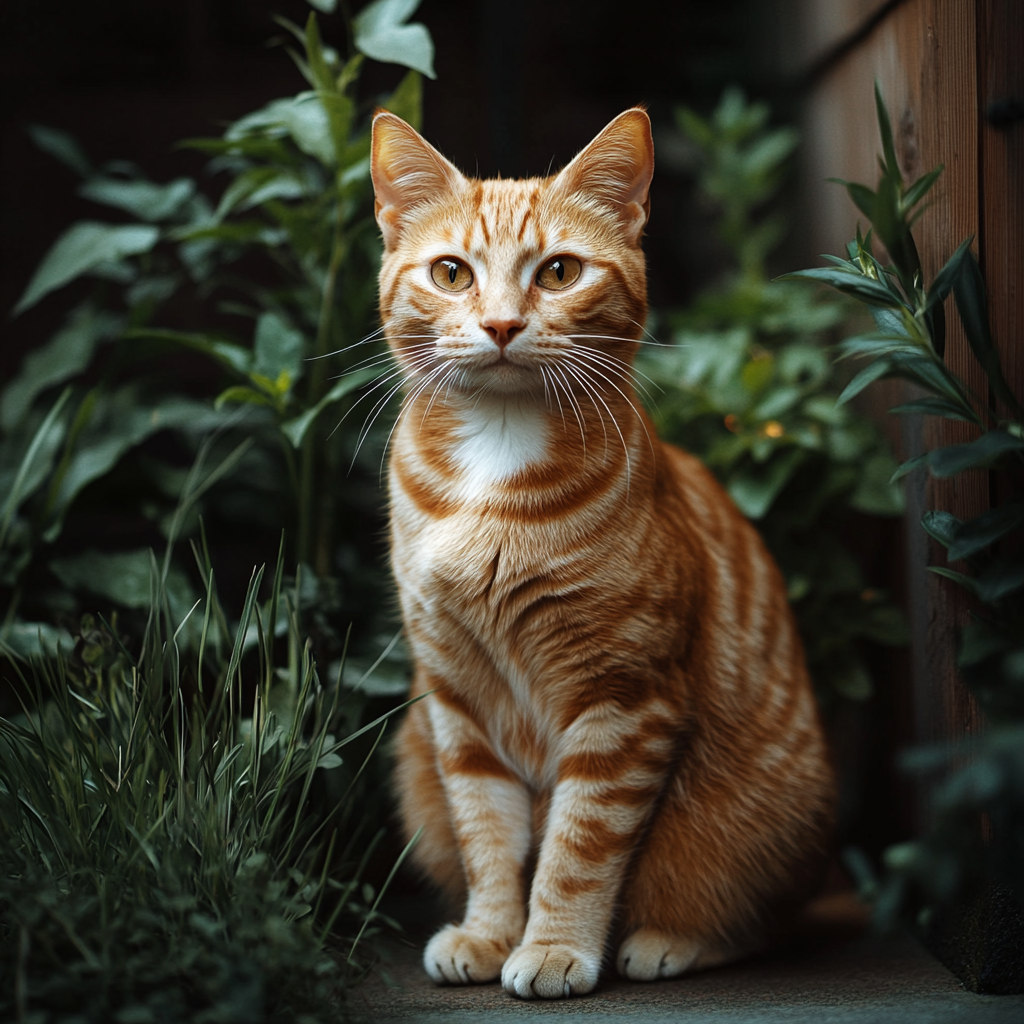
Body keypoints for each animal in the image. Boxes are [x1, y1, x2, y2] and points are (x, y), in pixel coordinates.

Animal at [372, 108, 835, 995]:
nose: (501, 325)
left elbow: (577, 849)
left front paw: (553, 947)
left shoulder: (623, 699)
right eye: (451, 273)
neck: (498, 464)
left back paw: (673, 940)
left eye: (558, 271)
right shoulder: (457, 704)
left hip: (762, 821)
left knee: (760, 917)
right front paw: (491, 934)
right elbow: (488, 838)